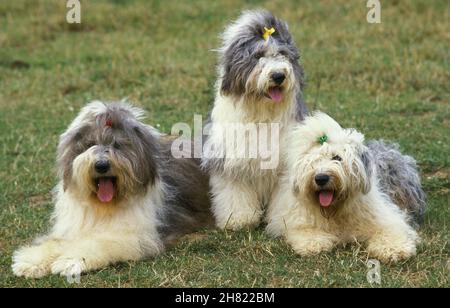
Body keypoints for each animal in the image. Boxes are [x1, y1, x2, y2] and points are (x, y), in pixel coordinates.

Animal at [12, 101, 213, 280]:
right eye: (90, 144)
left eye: (117, 145)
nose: (101, 165)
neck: (103, 206)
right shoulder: (72, 227)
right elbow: (55, 242)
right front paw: (31, 262)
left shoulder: (137, 236)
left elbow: (98, 243)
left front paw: (70, 260)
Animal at [202, 9, 308, 230]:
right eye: (258, 55)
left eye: (282, 54)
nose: (278, 75)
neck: (262, 114)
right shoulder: (230, 160)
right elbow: (235, 192)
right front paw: (238, 219)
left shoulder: (285, 164)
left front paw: (283, 221)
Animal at [268, 112, 422, 262]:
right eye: (312, 161)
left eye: (337, 158)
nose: (321, 178)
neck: (334, 211)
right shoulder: (294, 219)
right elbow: (304, 230)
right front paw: (314, 243)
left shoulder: (384, 216)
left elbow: (390, 229)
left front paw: (394, 249)